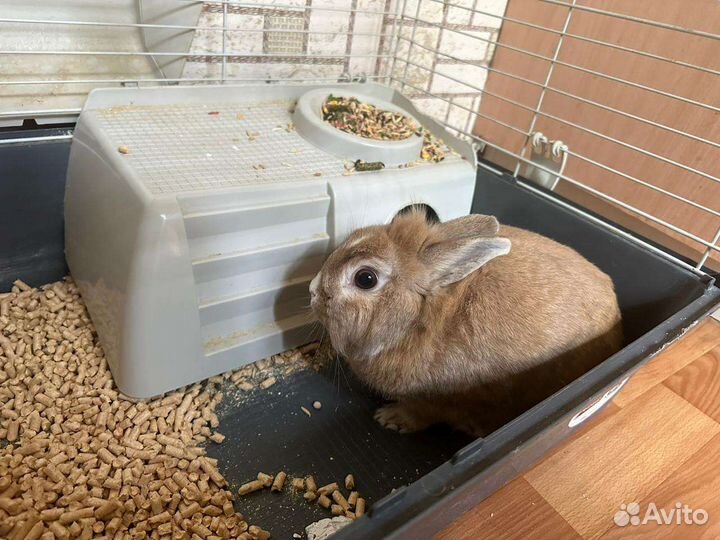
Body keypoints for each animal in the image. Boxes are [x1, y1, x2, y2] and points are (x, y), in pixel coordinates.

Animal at [309, 209, 623, 436]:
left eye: (366, 278)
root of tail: (617, 318)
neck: (419, 318)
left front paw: (389, 418)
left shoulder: (436, 401)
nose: (312, 290)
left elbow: (420, 414)